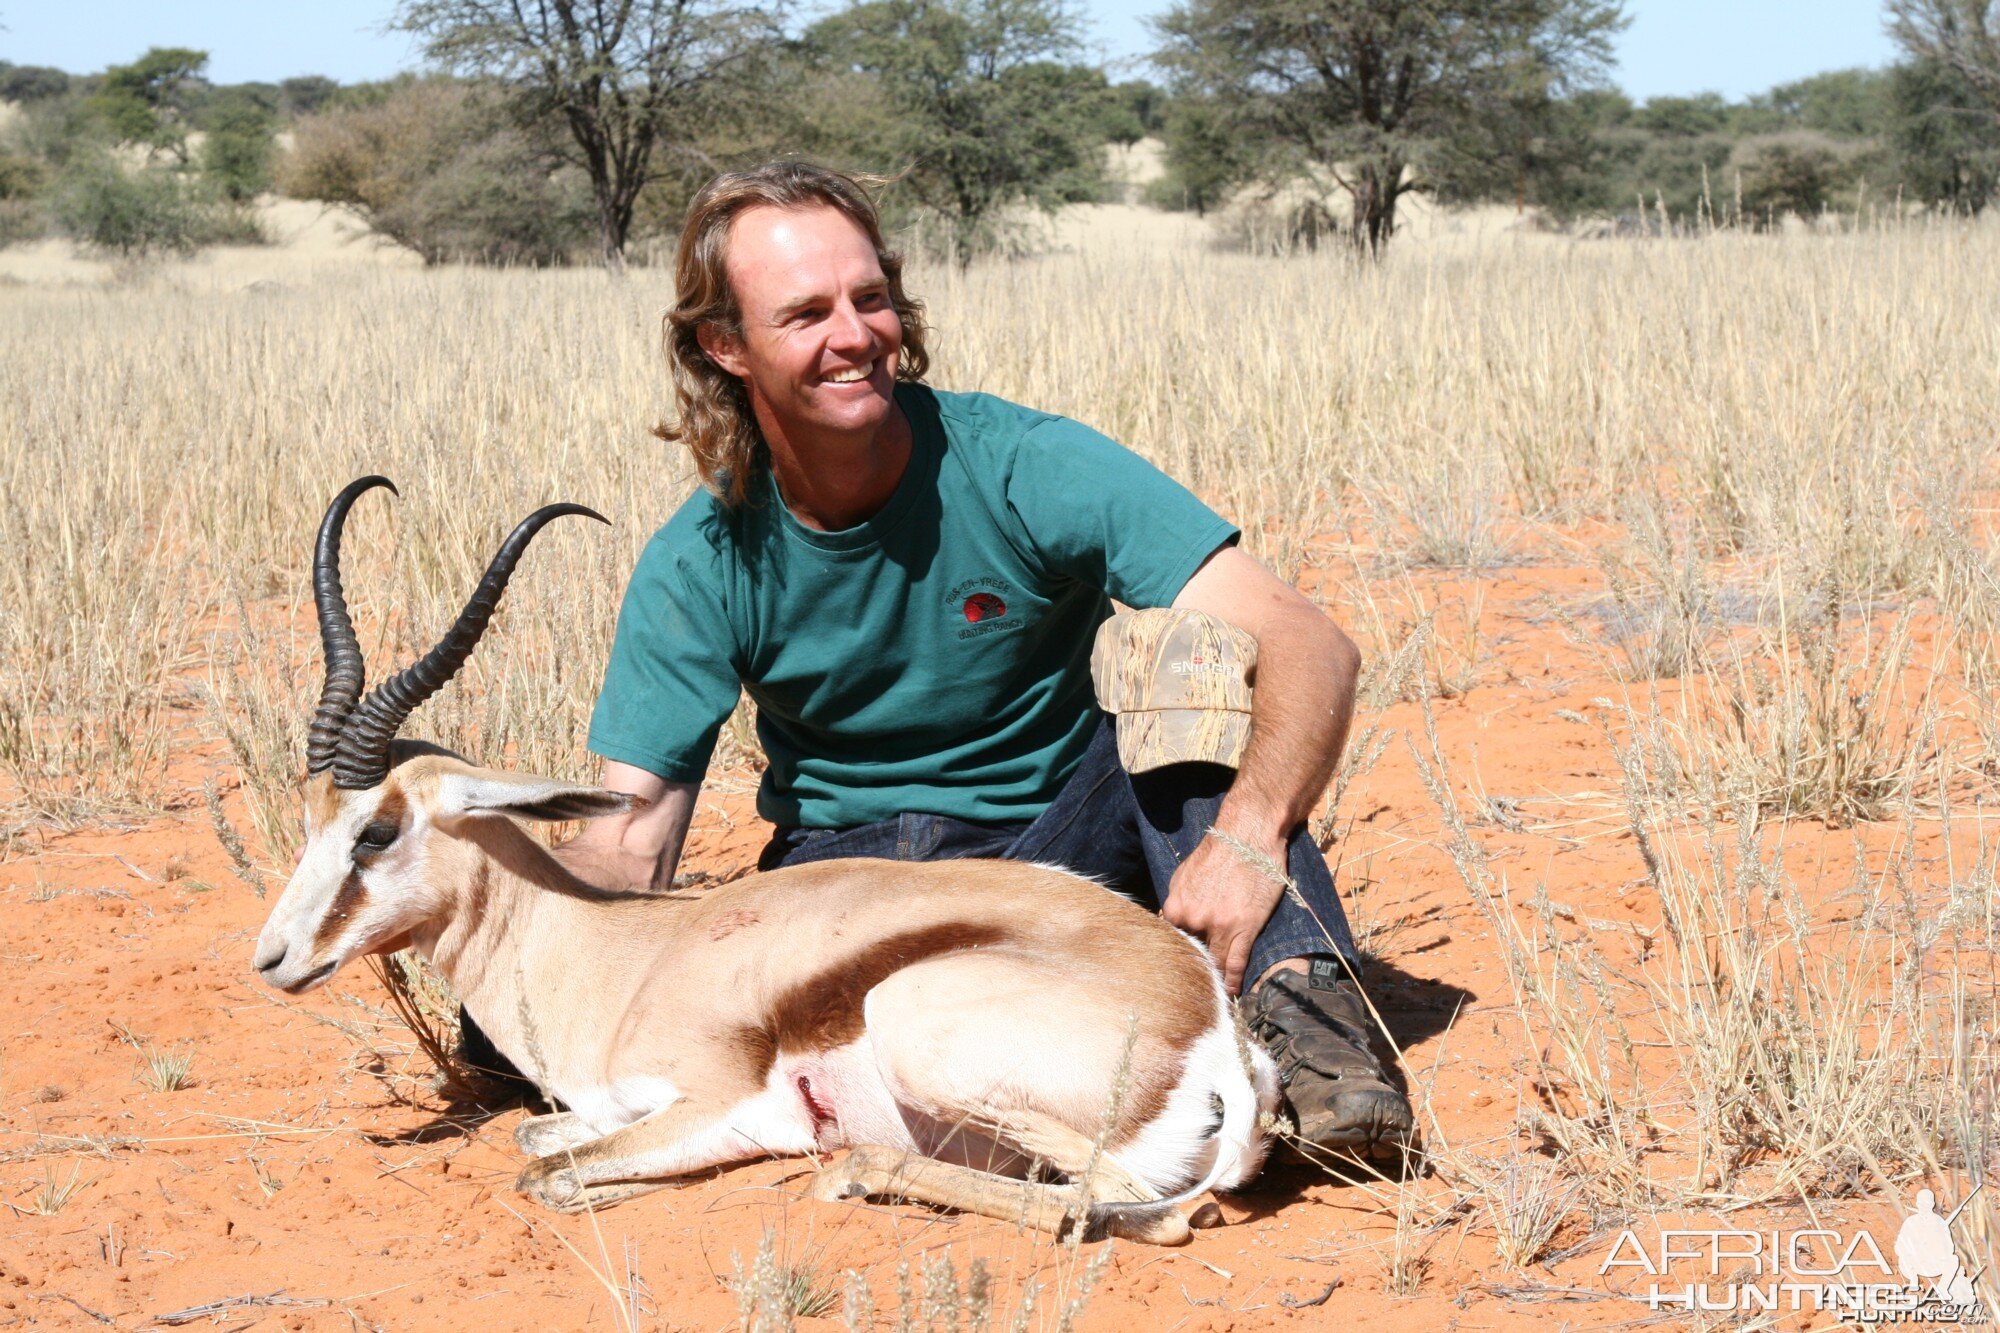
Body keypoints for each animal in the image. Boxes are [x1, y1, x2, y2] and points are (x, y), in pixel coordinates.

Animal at [254, 474, 1280, 1232]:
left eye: (376, 829)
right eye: (307, 819)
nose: (272, 958)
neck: (609, 953)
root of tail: (1210, 1027)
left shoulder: (717, 1103)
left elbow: (549, 1176)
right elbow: (534, 1146)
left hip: (918, 1025)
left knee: (1139, 1208)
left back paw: (851, 1170)